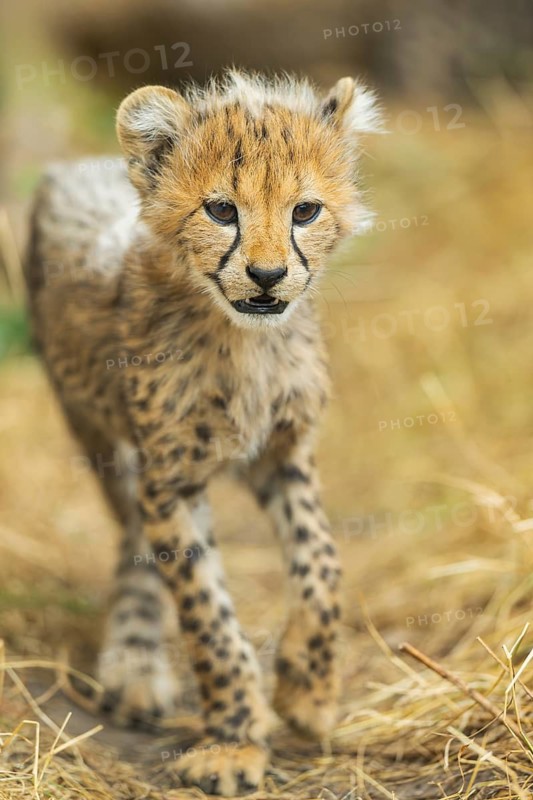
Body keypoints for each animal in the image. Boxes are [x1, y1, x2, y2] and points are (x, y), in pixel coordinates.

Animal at [24, 69, 383, 796]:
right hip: (99, 436)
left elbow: (323, 562)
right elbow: (208, 617)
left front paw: (308, 689)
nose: (268, 277)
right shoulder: (172, 480)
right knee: (132, 534)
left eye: (305, 212)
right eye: (221, 211)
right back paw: (135, 662)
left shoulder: (284, 453)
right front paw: (234, 741)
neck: (242, 340)